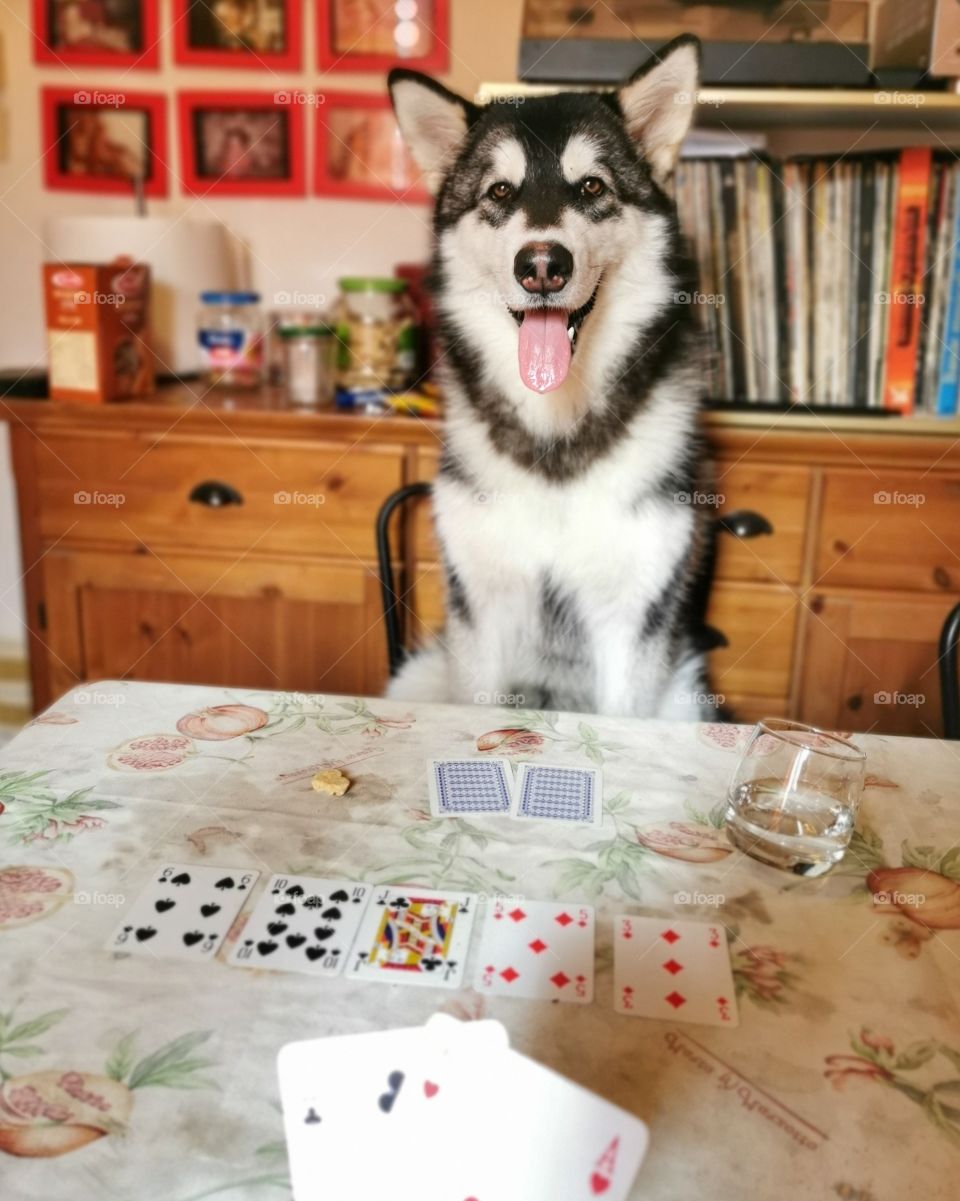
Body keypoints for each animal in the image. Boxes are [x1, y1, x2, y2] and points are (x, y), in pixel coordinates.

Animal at [389, 32, 711, 715]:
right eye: (499, 193)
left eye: (590, 186)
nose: (541, 264)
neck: (555, 439)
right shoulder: (482, 607)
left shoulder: (633, 611)